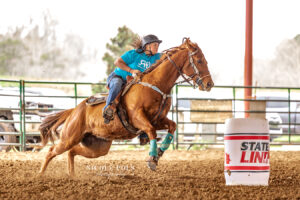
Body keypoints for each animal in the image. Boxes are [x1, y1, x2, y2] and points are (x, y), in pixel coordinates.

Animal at [38, 37, 214, 175]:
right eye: (199, 60)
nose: (209, 84)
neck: (155, 85)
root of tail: (74, 110)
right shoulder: (137, 118)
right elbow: (151, 131)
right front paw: (152, 159)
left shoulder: (158, 119)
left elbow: (172, 127)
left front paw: (159, 153)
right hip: (69, 137)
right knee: (51, 152)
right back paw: (41, 175)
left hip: (98, 147)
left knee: (72, 152)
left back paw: (72, 176)